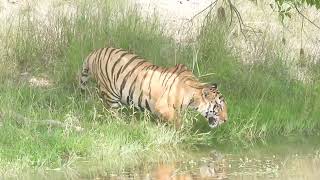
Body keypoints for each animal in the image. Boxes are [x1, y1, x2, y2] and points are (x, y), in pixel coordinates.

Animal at [78, 46, 226, 128]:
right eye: (218, 107)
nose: (226, 120)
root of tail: (94, 52)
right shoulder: (164, 107)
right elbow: (178, 123)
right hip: (110, 94)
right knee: (113, 113)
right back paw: (123, 124)